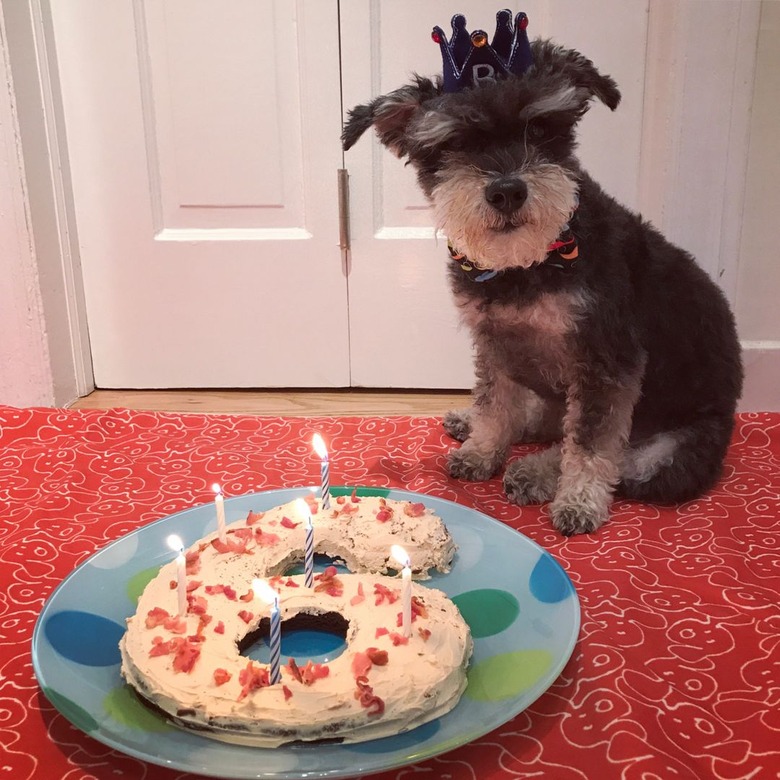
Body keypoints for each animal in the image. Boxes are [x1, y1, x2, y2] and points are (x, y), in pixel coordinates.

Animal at [342, 10, 744, 536]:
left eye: (539, 129)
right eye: (456, 143)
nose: (507, 191)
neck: (527, 262)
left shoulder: (606, 360)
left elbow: (592, 443)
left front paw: (577, 502)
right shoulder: (495, 340)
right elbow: (496, 401)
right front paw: (482, 448)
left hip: (671, 454)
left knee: (618, 454)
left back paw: (535, 472)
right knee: (549, 417)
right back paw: (475, 425)